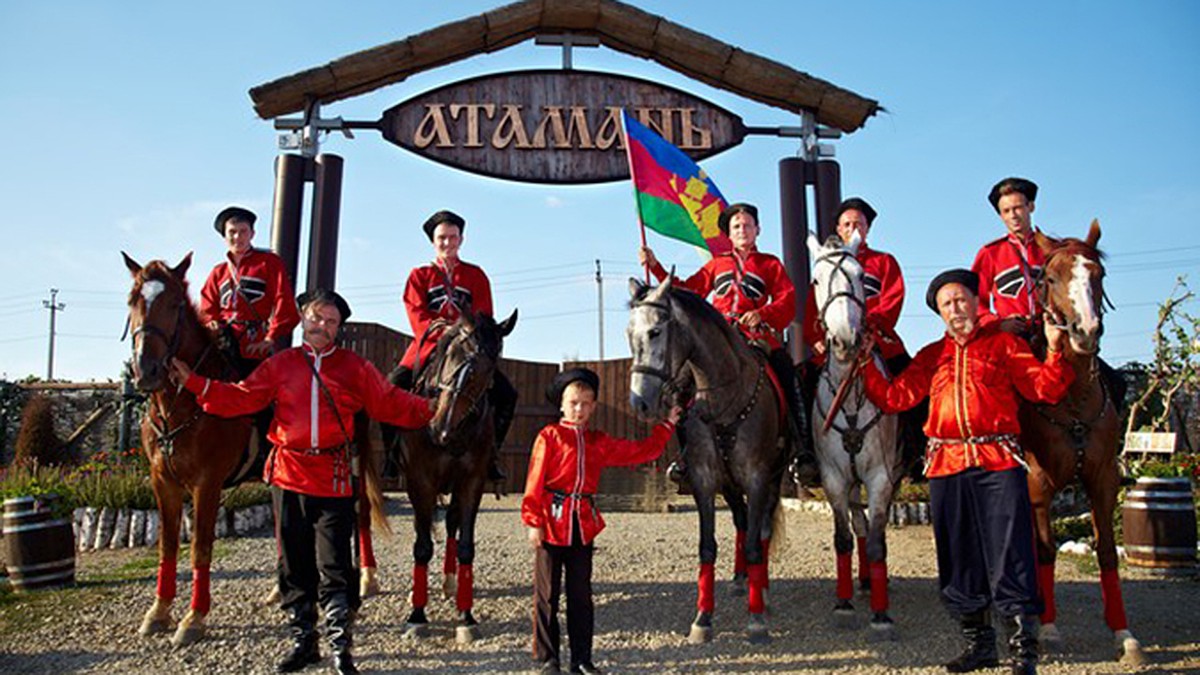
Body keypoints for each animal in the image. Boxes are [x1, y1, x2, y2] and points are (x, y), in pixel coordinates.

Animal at [628, 277, 787, 638]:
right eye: (629, 332)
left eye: (655, 331)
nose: (639, 402)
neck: (724, 400)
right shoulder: (704, 479)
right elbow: (707, 546)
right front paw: (703, 618)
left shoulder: (757, 478)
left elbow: (757, 543)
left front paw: (756, 620)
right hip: (729, 485)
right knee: (742, 521)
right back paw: (741, 579)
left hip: (773, 479)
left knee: (762, 531)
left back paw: (763, 590)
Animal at [1017, 220, 1147, 662]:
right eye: (1050, 278)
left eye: (1098, 274)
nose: (1085, 331)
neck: (1071, 398)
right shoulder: (1037, 482)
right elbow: (1044, 549)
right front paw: (1049, 627)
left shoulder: (1103, 478)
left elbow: (1106, 550)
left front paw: (1124, 633)